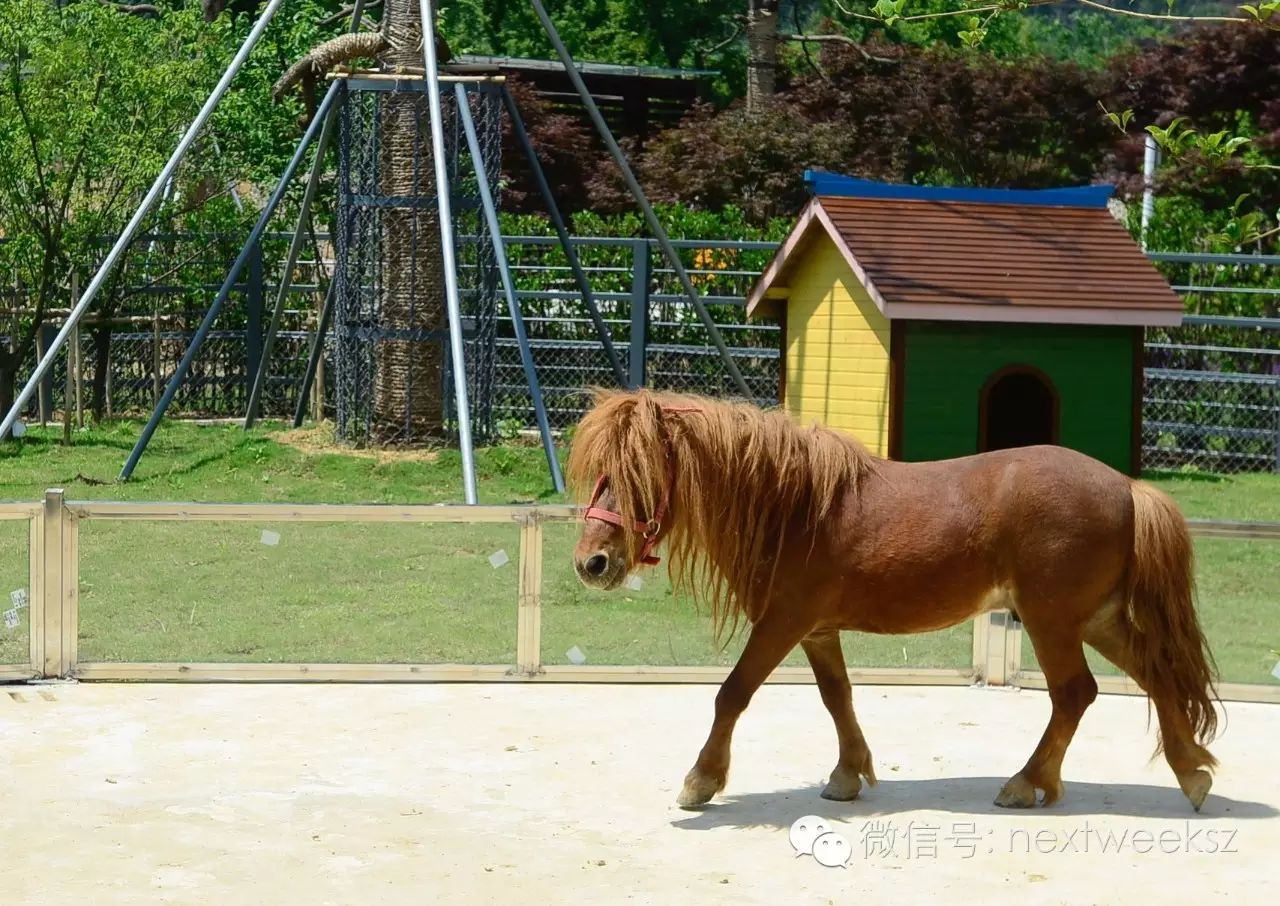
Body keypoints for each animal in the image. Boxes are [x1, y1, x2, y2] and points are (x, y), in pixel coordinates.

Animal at [570, 386, 1218, 808]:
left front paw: (700, 780)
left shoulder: (782, 622)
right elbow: (838, 698)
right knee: (1156, 675)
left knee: (1075, 694)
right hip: (1096, 619)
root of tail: (1128, 488)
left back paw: (1027, 782)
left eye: (638, 474)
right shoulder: (817, 630)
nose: (590, 563)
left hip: (1051, 621)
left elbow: (732, 694)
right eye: (600, 474)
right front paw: (847, 774)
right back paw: (1191, 773)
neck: (794, 507)